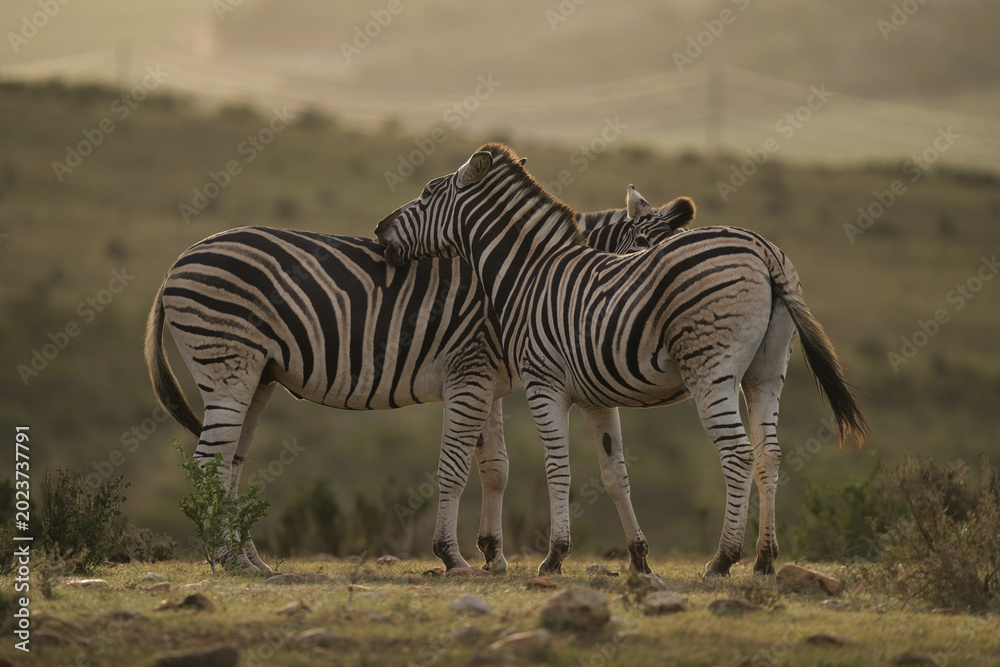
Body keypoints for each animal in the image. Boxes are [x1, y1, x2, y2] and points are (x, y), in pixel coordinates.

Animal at [145, 188, 694, 574]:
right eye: (642, 254)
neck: (525, 279)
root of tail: (178, 260)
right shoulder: (469, 374)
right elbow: (456, 469)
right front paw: (454, 557)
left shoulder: (487, 381)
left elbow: (496, 467)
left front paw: (494, 556)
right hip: (227, 363)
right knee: (211, 461)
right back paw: (225, 558)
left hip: (258, 376)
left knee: (231, 463)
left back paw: (250, 561)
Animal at [375, 143, 868, 577]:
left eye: (426, 194)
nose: (379, 231)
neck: (528, 274)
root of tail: (762, 249)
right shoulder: (596, 396)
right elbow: (615, 475)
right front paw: (638, 558)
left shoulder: (543, 384)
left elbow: (558, 468)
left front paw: (554, 557)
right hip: (765, 373)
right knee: (769, 454)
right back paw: (765, 560)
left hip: (711, 371)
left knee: (738, 453)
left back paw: (723, 559)